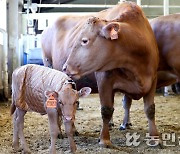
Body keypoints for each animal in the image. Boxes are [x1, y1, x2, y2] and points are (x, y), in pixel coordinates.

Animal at [62, 1, 160, 148]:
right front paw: (104, 139)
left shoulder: (152, 79)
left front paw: (155, 138)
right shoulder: (104, 79)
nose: (65, 67)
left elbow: (150, 109)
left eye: (84, 40)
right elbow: (106, 110)